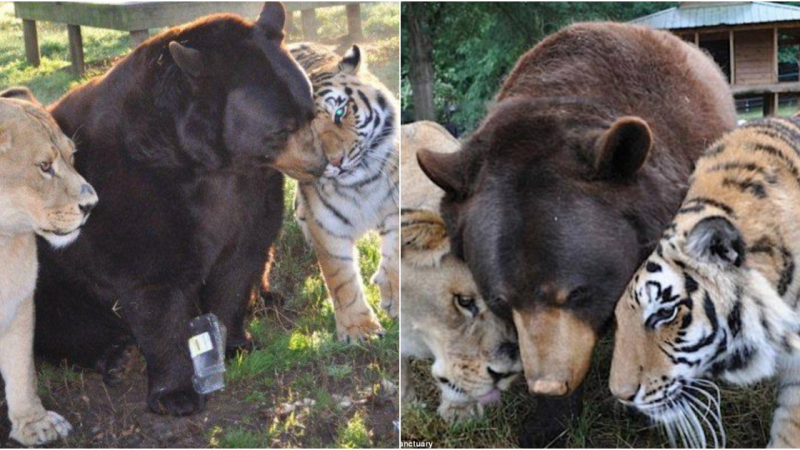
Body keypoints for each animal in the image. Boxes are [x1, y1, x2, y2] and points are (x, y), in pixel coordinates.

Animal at [31, 1, 324, 416]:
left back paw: (268, 297)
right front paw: (177, 394)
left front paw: (236, 341)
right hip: (48, 271)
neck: (210, 163)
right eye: (282, 129)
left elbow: (240, 260)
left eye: (311, 113)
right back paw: (114, 355)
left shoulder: (250, 189)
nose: (322, 164)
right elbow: (156, 284)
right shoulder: (138, 187)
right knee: (55, 319)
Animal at [290, 44, 398, 342]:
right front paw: (359, 329)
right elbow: (341, 278)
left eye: (339, 113)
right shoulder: (327, 226)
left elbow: (395, 252)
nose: (335, 161)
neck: (361, 185)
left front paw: (392, 296)